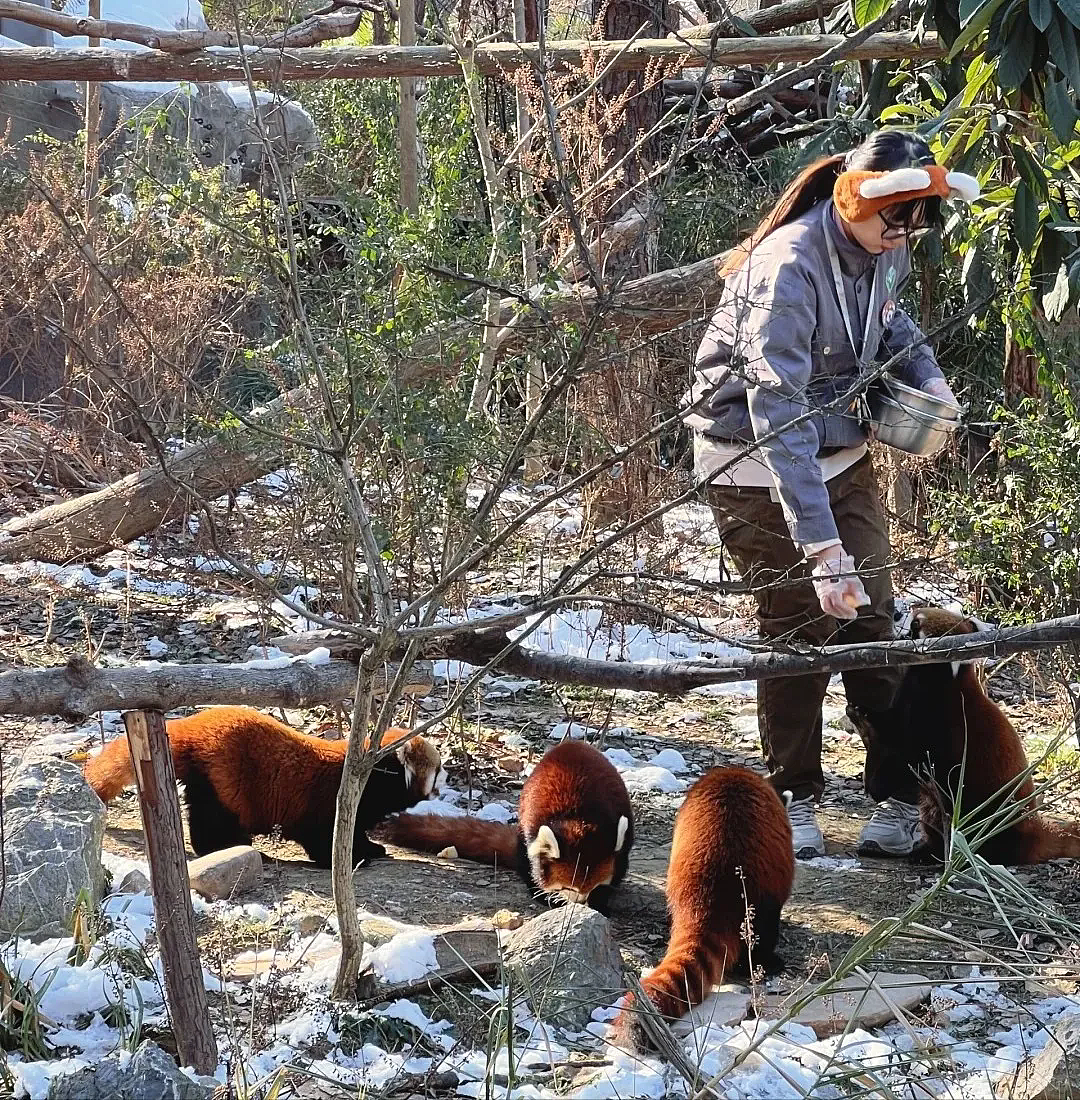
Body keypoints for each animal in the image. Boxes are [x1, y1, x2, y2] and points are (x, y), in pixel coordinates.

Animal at [82, 708, 442, 871]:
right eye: (437, 771)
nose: (441, 788)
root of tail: (195, 724)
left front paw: (370, 848)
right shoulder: (332, 801)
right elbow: (324, 838)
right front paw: (356, 856)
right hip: (225, 780)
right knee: (214, 823)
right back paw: (236, 848)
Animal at [378, 743, 637, 915]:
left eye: (591, 886)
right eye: (567, 886)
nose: (580, 904)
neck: (578, 816)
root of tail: (571, 744)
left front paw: (600, 901)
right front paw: (550, 896)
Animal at [849, 611, 1080, 866]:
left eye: (915, 623)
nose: (897, 614)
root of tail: (1033, 829)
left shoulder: (938, 727)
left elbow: (905, 757)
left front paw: (878, 783)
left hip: (990, 810)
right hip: (937, 808)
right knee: (933, 813)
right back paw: (929, 851)